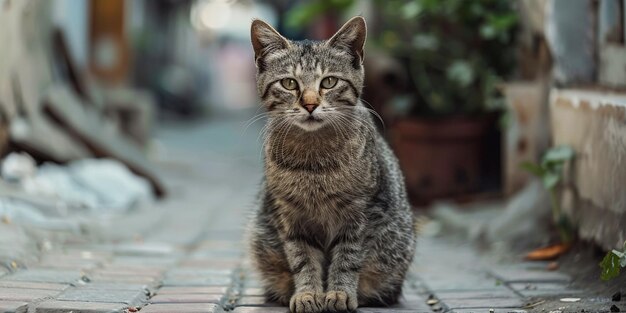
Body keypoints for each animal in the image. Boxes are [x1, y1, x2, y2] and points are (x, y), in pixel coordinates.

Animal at [247, 16, 414, 312]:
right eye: (289, 83)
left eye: (329, 82)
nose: (310, 104)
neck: (315, 164)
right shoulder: (290, 217)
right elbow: (303, 260)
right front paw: (307, 294)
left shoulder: (360, 214)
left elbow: (347, 259)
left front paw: (339, 293)